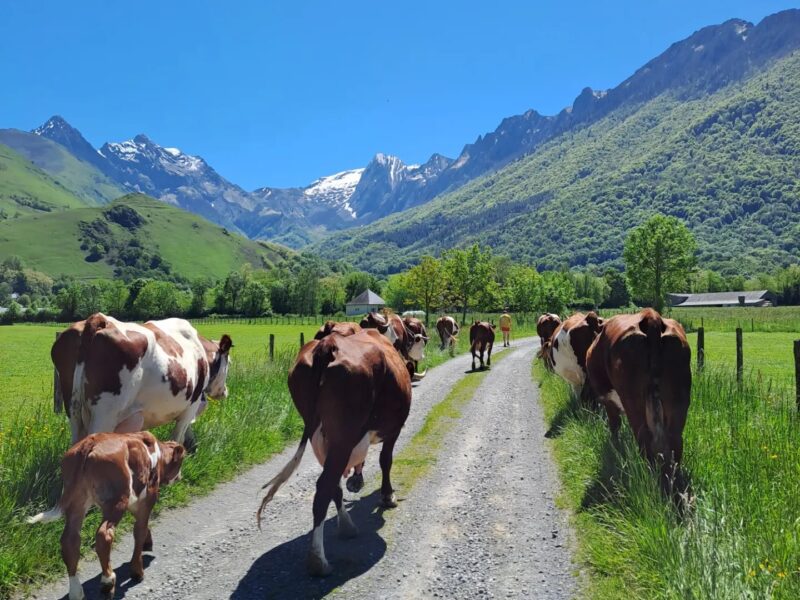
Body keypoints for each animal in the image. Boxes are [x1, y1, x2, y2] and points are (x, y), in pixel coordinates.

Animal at [27, 432, 185, 600]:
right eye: (181, 461)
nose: (180, 477)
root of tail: (90, 442)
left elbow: (142, 527)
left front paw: (148, 543)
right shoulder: (148, 499)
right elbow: (140, 530)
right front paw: (137, 571)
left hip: (78, 501)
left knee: (70, 540)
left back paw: (76, 591)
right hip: (116, 501)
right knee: (104, 535)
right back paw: (108, 581)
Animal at [51, 314, 233, 446]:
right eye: (229, 362)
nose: (225, 391)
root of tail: (99, 319)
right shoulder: (191, 406)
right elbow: (178, 437)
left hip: (73, 411)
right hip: (105, 415)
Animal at [256, 328, 412, 576]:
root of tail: (327, 345)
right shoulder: (393, 430)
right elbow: (385, 460)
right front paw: (388, 496)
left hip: (321, 434)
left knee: (332, 484)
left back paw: (346, 526)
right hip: (343, 436)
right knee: (324, 487)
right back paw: (318, 560)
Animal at [584, 312, 692, 480]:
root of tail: (651, 316)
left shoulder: (608, 400)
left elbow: (614, 426)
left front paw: (615, 447)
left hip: (633, 402)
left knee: (644, 438)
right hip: (677, 400)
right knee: (675, 440)